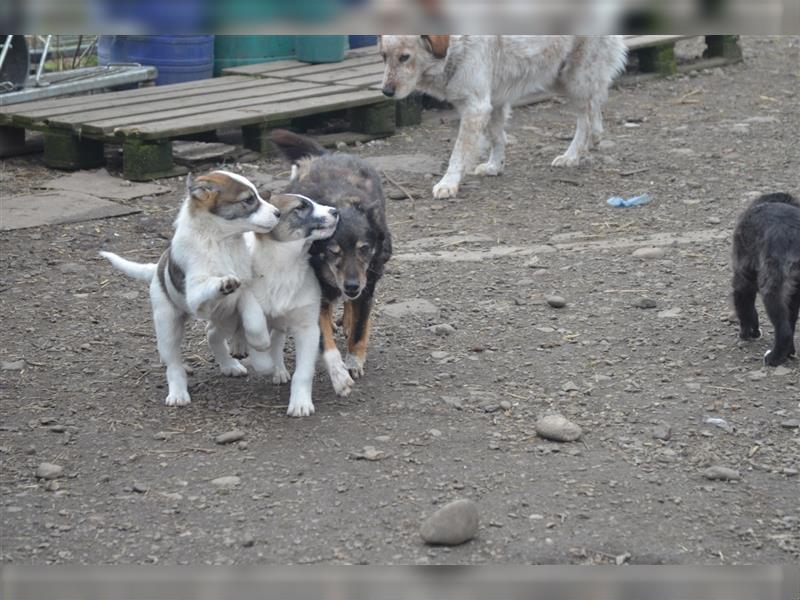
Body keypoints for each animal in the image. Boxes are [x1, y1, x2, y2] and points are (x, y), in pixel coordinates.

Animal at [101, 172, 280, 408]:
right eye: (249, 200)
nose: (278, 213)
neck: (219, 242)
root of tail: (156, 268)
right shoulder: (196, 296)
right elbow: (209, 285)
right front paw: (223, 282)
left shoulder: (246, 289)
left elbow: (255, 320)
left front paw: (260, 343)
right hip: (168, 322)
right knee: (173, 362)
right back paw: (178, 392)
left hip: (226, 317)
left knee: (212, 335)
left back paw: (229, 365)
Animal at [230, 192, 340, 418]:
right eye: (300, 207)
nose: (335, 211)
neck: (284, 268)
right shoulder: (253, 306)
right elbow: (258, 343)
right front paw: (264, 361)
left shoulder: (308, 328)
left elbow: (303, 372)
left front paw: (300, 403)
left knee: (277, 340)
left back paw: (279, 369)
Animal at [270, 129, 392, 396]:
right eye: (333, 252)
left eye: (364, 249)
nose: (351, 286)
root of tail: (326, 155)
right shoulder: (316, 296)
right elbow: (325, 343)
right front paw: (339, 375)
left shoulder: (367, 287)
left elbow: (360, 329)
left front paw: (354, 361)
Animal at [382, 34, 632, 199]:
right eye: (384, 56)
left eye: (404, 57)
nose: (385, 92)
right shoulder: (493, 102)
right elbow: (497, 137)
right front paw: (495, 166)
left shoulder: (476, 106)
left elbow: (458, 153)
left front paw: (448, 183)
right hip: (560, 77)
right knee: (595, 103)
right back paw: (593, 140)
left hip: (575, 78)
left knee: (586, 119)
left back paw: (571, 155)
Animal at [732, 193, 800, 366]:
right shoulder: (794, 293)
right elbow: (792, 320)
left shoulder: (742, 276)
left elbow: (745, 308)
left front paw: (748, 333)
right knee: (788, 325)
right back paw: (787, 353)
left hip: (771, 289)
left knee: (783, 330)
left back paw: (773, 358)